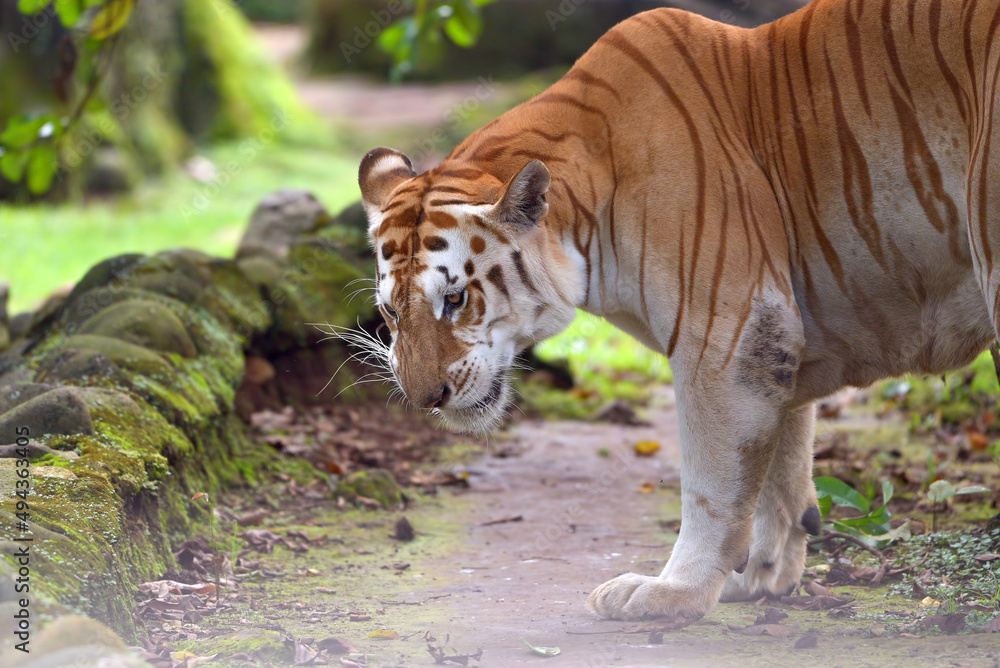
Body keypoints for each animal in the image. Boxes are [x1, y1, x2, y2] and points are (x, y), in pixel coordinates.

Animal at [357, 0, 1000, 622]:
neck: (588, 219)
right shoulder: (781, 340)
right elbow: (782, 470)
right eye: (390, 314)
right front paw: (761, 578)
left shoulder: (732, 331)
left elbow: (712, 486)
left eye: (455, 299)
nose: (425, 399)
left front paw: (674, 592)